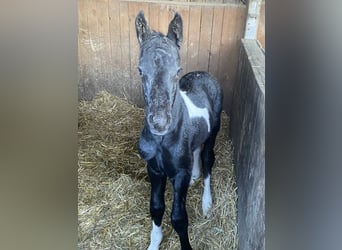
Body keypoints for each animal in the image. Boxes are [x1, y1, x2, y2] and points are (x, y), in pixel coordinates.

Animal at [135, 10, 223, 249]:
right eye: (140, 70)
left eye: (177, 70)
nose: (159, 123)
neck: (162, 141)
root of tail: (204, 74)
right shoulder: (154, 169)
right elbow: (156, 208)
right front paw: (154, 243)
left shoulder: (179, 175)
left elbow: (179, 218)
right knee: (196, 149)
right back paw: (196, 176)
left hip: (214, 131)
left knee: (207, 159)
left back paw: (207, 202)